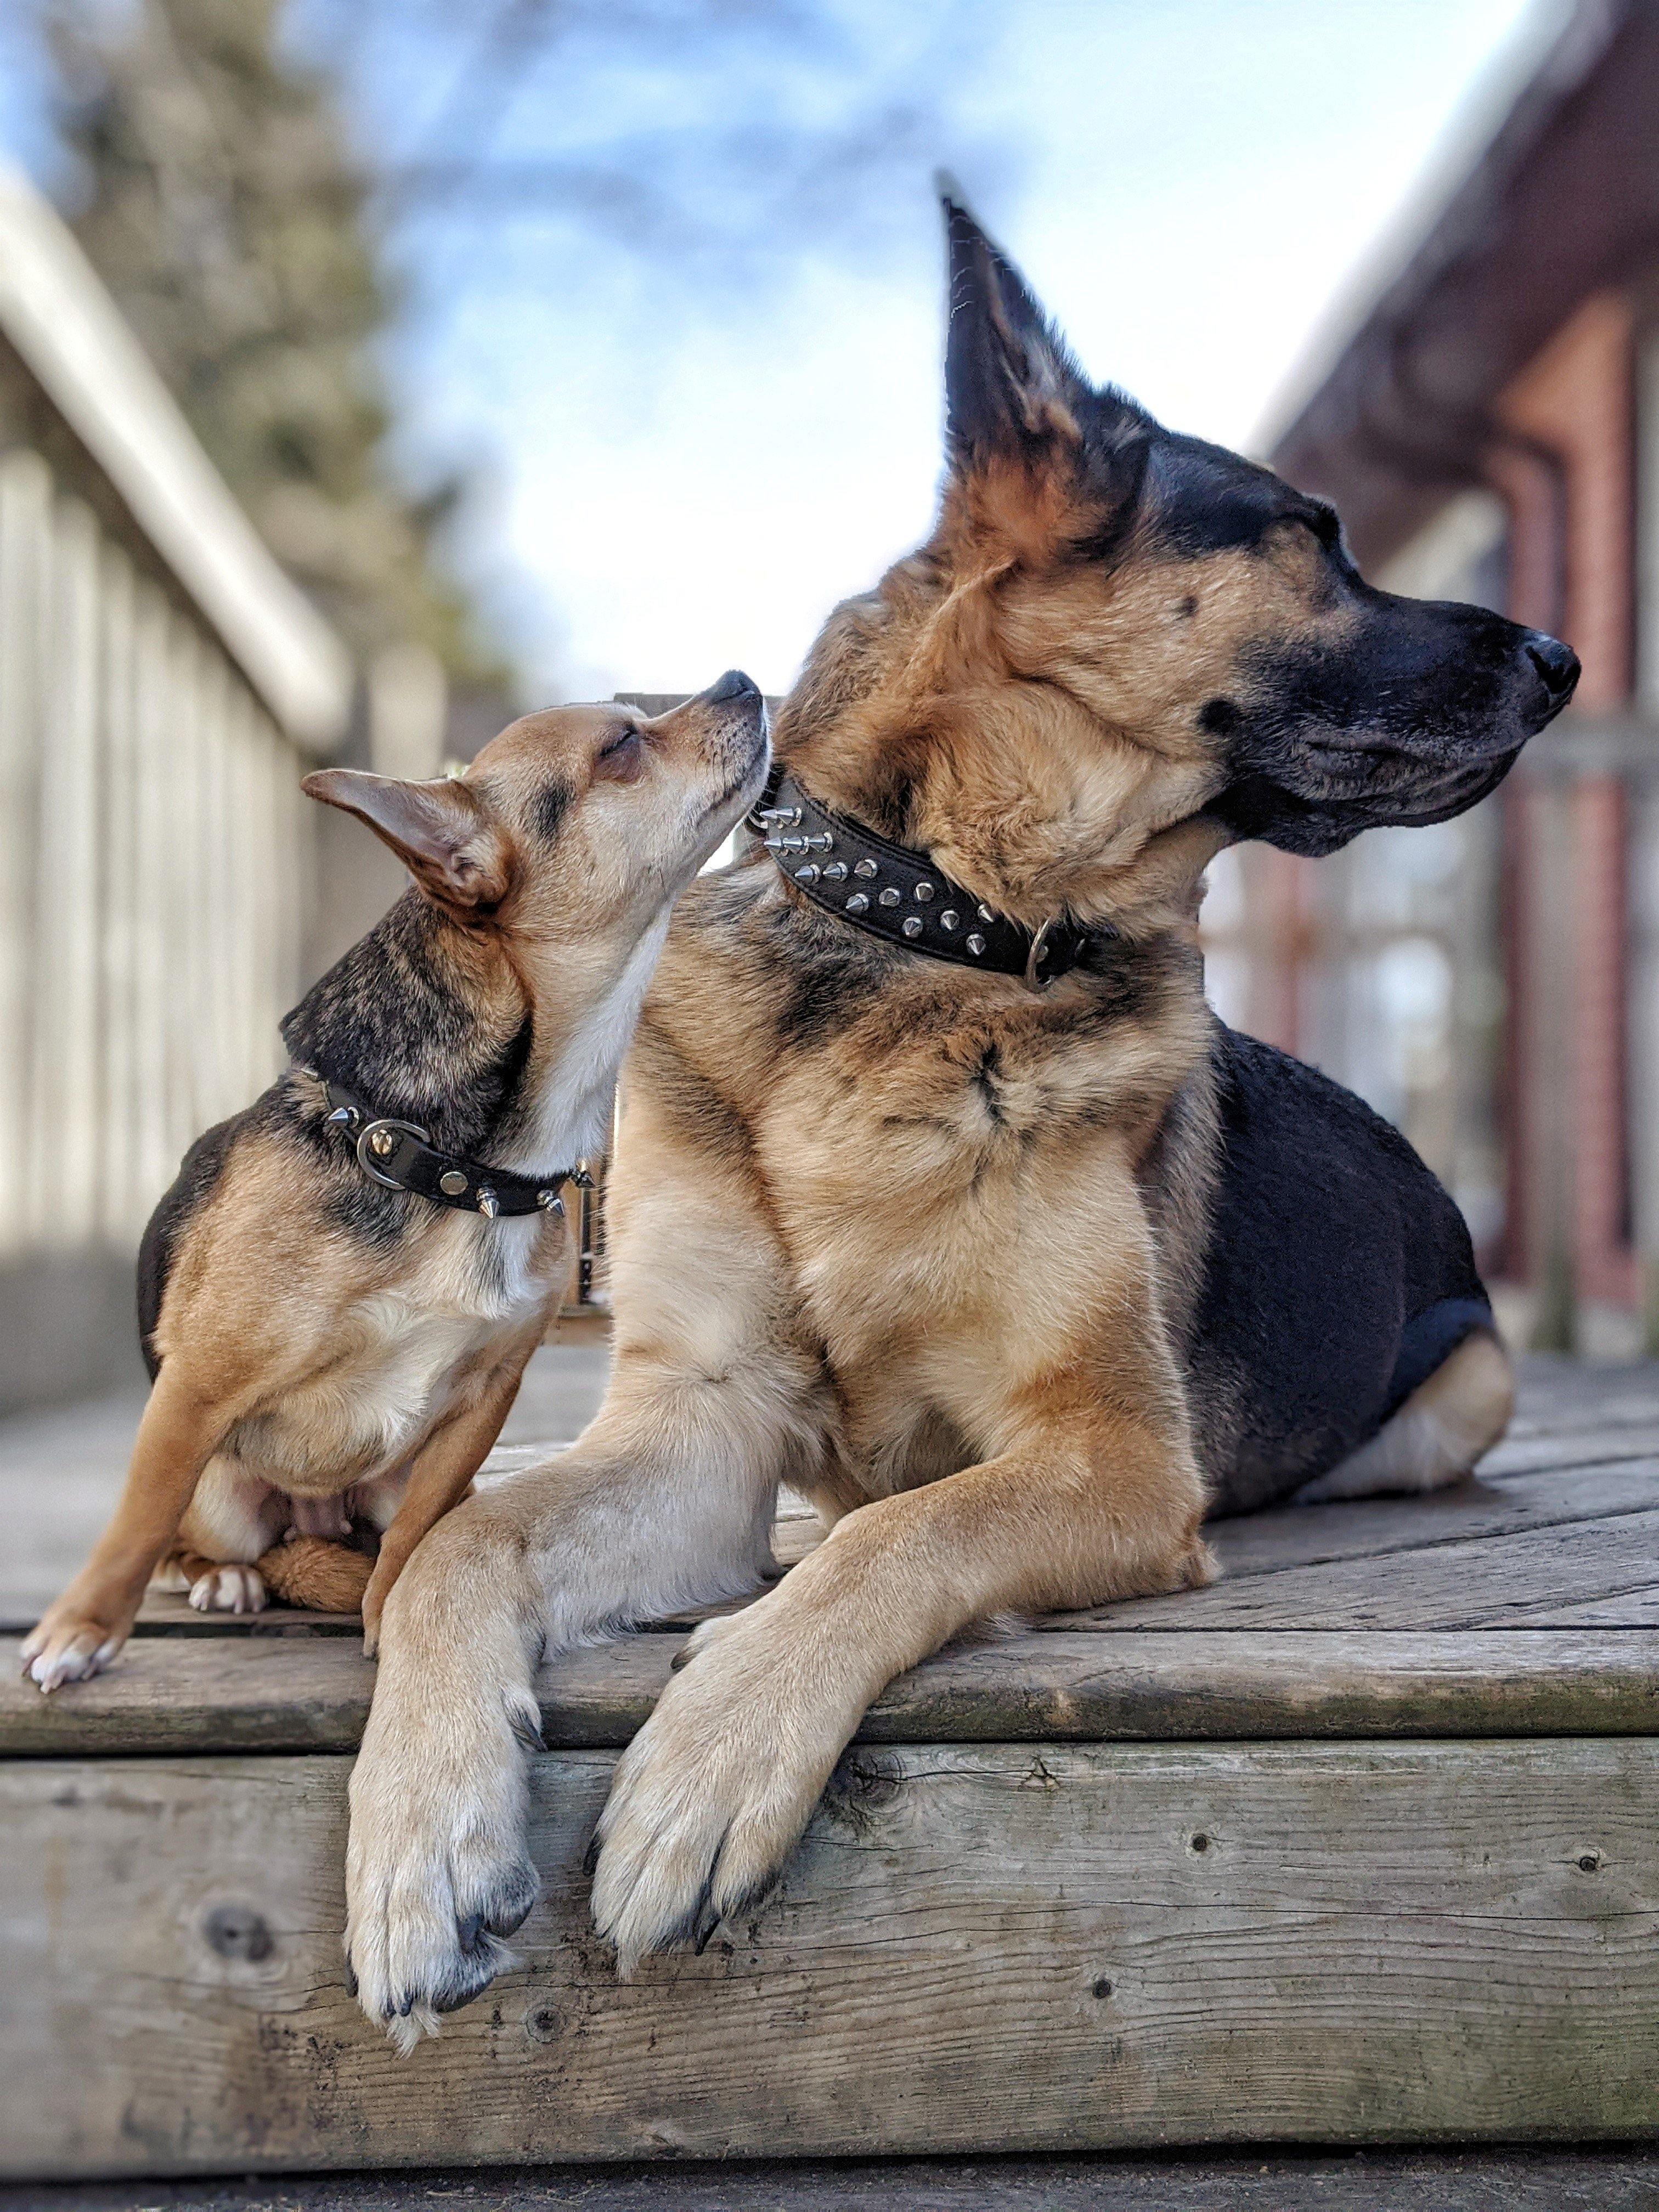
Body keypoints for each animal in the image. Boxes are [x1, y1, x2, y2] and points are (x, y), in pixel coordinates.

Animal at [21, 672, 774, 1690]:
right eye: (622, 746)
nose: (741, 680)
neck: (450, 1164)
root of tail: (312, 1514)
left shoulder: (484, 1399)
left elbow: (419, 1532)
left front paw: (394, 1619)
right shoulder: (197, 1389)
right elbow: (138, 1517)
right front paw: (81, 1630)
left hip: (385, 1483)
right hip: (223, 1489)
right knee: (196, 1536)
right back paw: (220, 1577)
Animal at [345, 194, 1575, 2035]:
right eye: (1314, 542)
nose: (1565, 657)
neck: (938, 933)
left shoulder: (1115, 1457)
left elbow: (899, 1537)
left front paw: (716, 1757)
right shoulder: (697, 1434)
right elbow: (461, 1539)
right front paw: (422, 1835)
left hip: (1462, 1389)